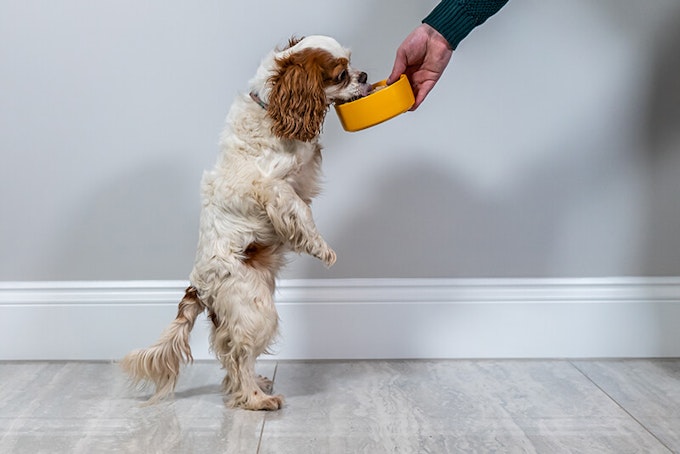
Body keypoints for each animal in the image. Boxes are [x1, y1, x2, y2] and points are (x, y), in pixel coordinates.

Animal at [119, 35, 370, 412]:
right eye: (341, 75)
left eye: (353, 63)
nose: (364, 75)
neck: (271, 108)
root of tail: (198, 285)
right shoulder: (274, 188)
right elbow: (303, 214)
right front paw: (322, 248)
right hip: (257, 311)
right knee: (239, 356)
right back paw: (256, 399)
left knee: (229, 354)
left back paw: (249, 387)